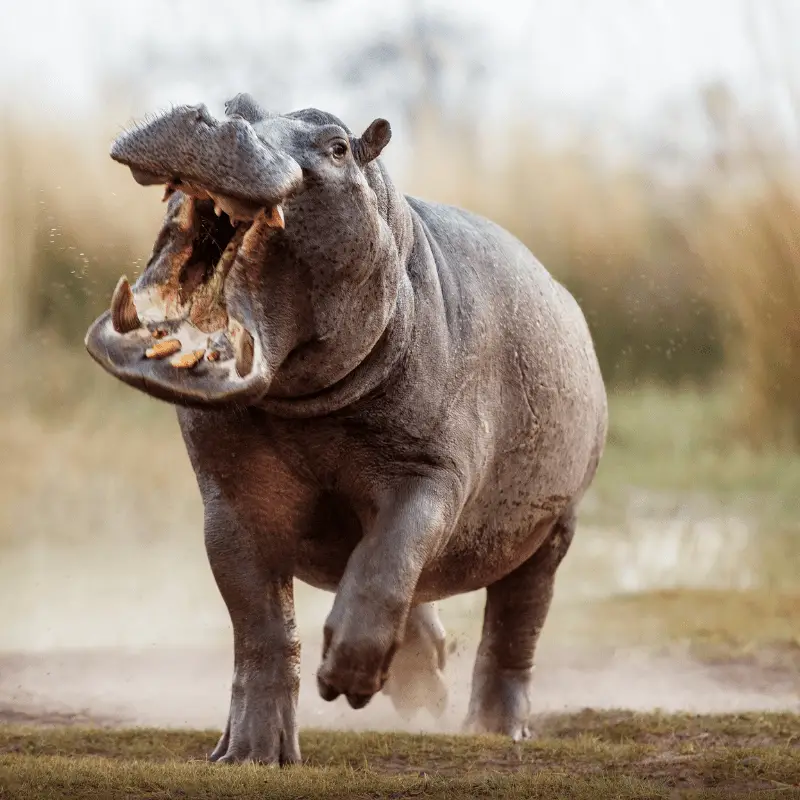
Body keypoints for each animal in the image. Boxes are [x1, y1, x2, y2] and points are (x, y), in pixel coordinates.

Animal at [84, 97, 608, 764]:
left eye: (336, 145)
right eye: (237, 104)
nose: (209, 117)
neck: (304, 404)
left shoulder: (430, 473)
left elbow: (389, 560)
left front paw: (348, 679)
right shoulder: (231, 499)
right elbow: (261, 628)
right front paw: (249, 753)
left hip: (555, 527)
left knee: (515, 624)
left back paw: (494, 728)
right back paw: (424, 688)